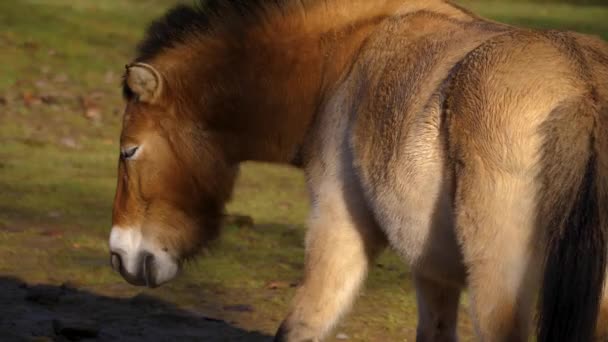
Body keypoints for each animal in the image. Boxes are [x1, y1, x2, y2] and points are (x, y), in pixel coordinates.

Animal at [109, 1, 608, 340]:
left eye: (129, 151)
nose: (119, 255)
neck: (346, 58)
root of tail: (583, 83)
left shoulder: (339, 226)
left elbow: (302, 324)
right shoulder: (433, 269)